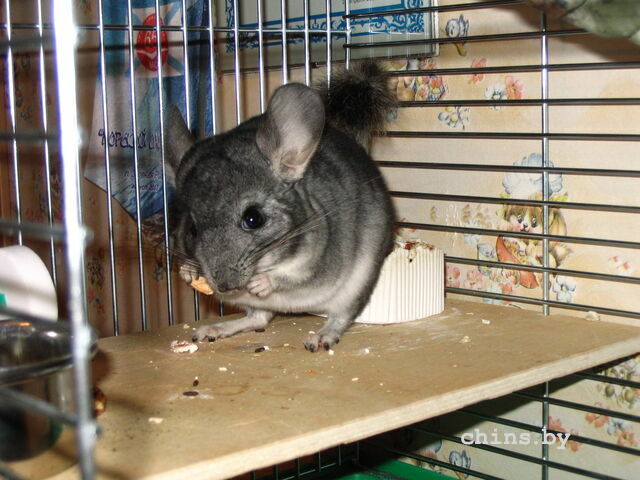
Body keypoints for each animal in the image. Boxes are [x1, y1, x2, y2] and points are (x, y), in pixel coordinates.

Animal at [165, 60, 396, 352]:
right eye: (192, 229)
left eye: (253, 218)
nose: (225, 287)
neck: (268, 259)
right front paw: (188, 272)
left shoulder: (317, 258)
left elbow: (297, 276)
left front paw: (261, 283)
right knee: (258, 319)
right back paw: (214, 329)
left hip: (357, 284)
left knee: (341, 316)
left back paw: (321, 338)